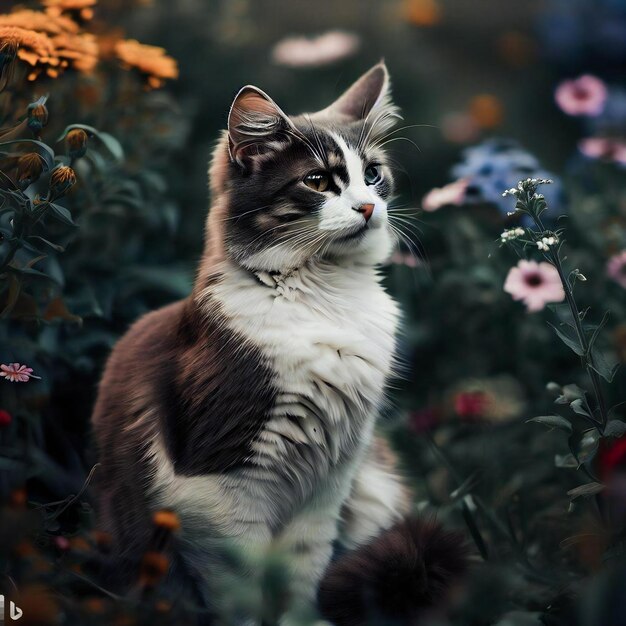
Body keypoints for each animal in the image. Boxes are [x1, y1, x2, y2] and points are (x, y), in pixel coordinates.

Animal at [90, 61, 466, 620]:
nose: (367, 206)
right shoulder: (217, 481)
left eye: (372, 174)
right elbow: (242, 591)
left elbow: (301, 575)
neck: (325, 295)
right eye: (317, 181)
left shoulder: (330, 485)